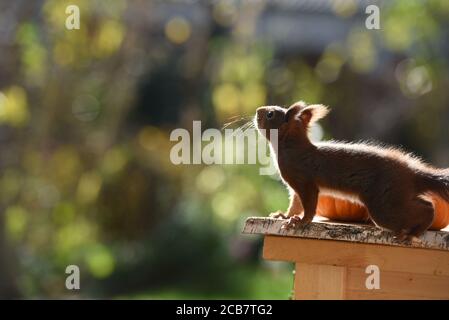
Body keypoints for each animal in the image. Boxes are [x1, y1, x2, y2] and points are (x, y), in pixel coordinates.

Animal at [256, 101, 448, 239]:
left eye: (270, 114)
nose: (258, 111)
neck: (291, 147)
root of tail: (411, 174)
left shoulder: (304, 181)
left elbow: (309, 205)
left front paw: (300, 222)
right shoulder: (296, 187)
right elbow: (295, 205)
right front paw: (284, 216)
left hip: (385, 205)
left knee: (427, 208)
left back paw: (413, 233)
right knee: (424, 203)